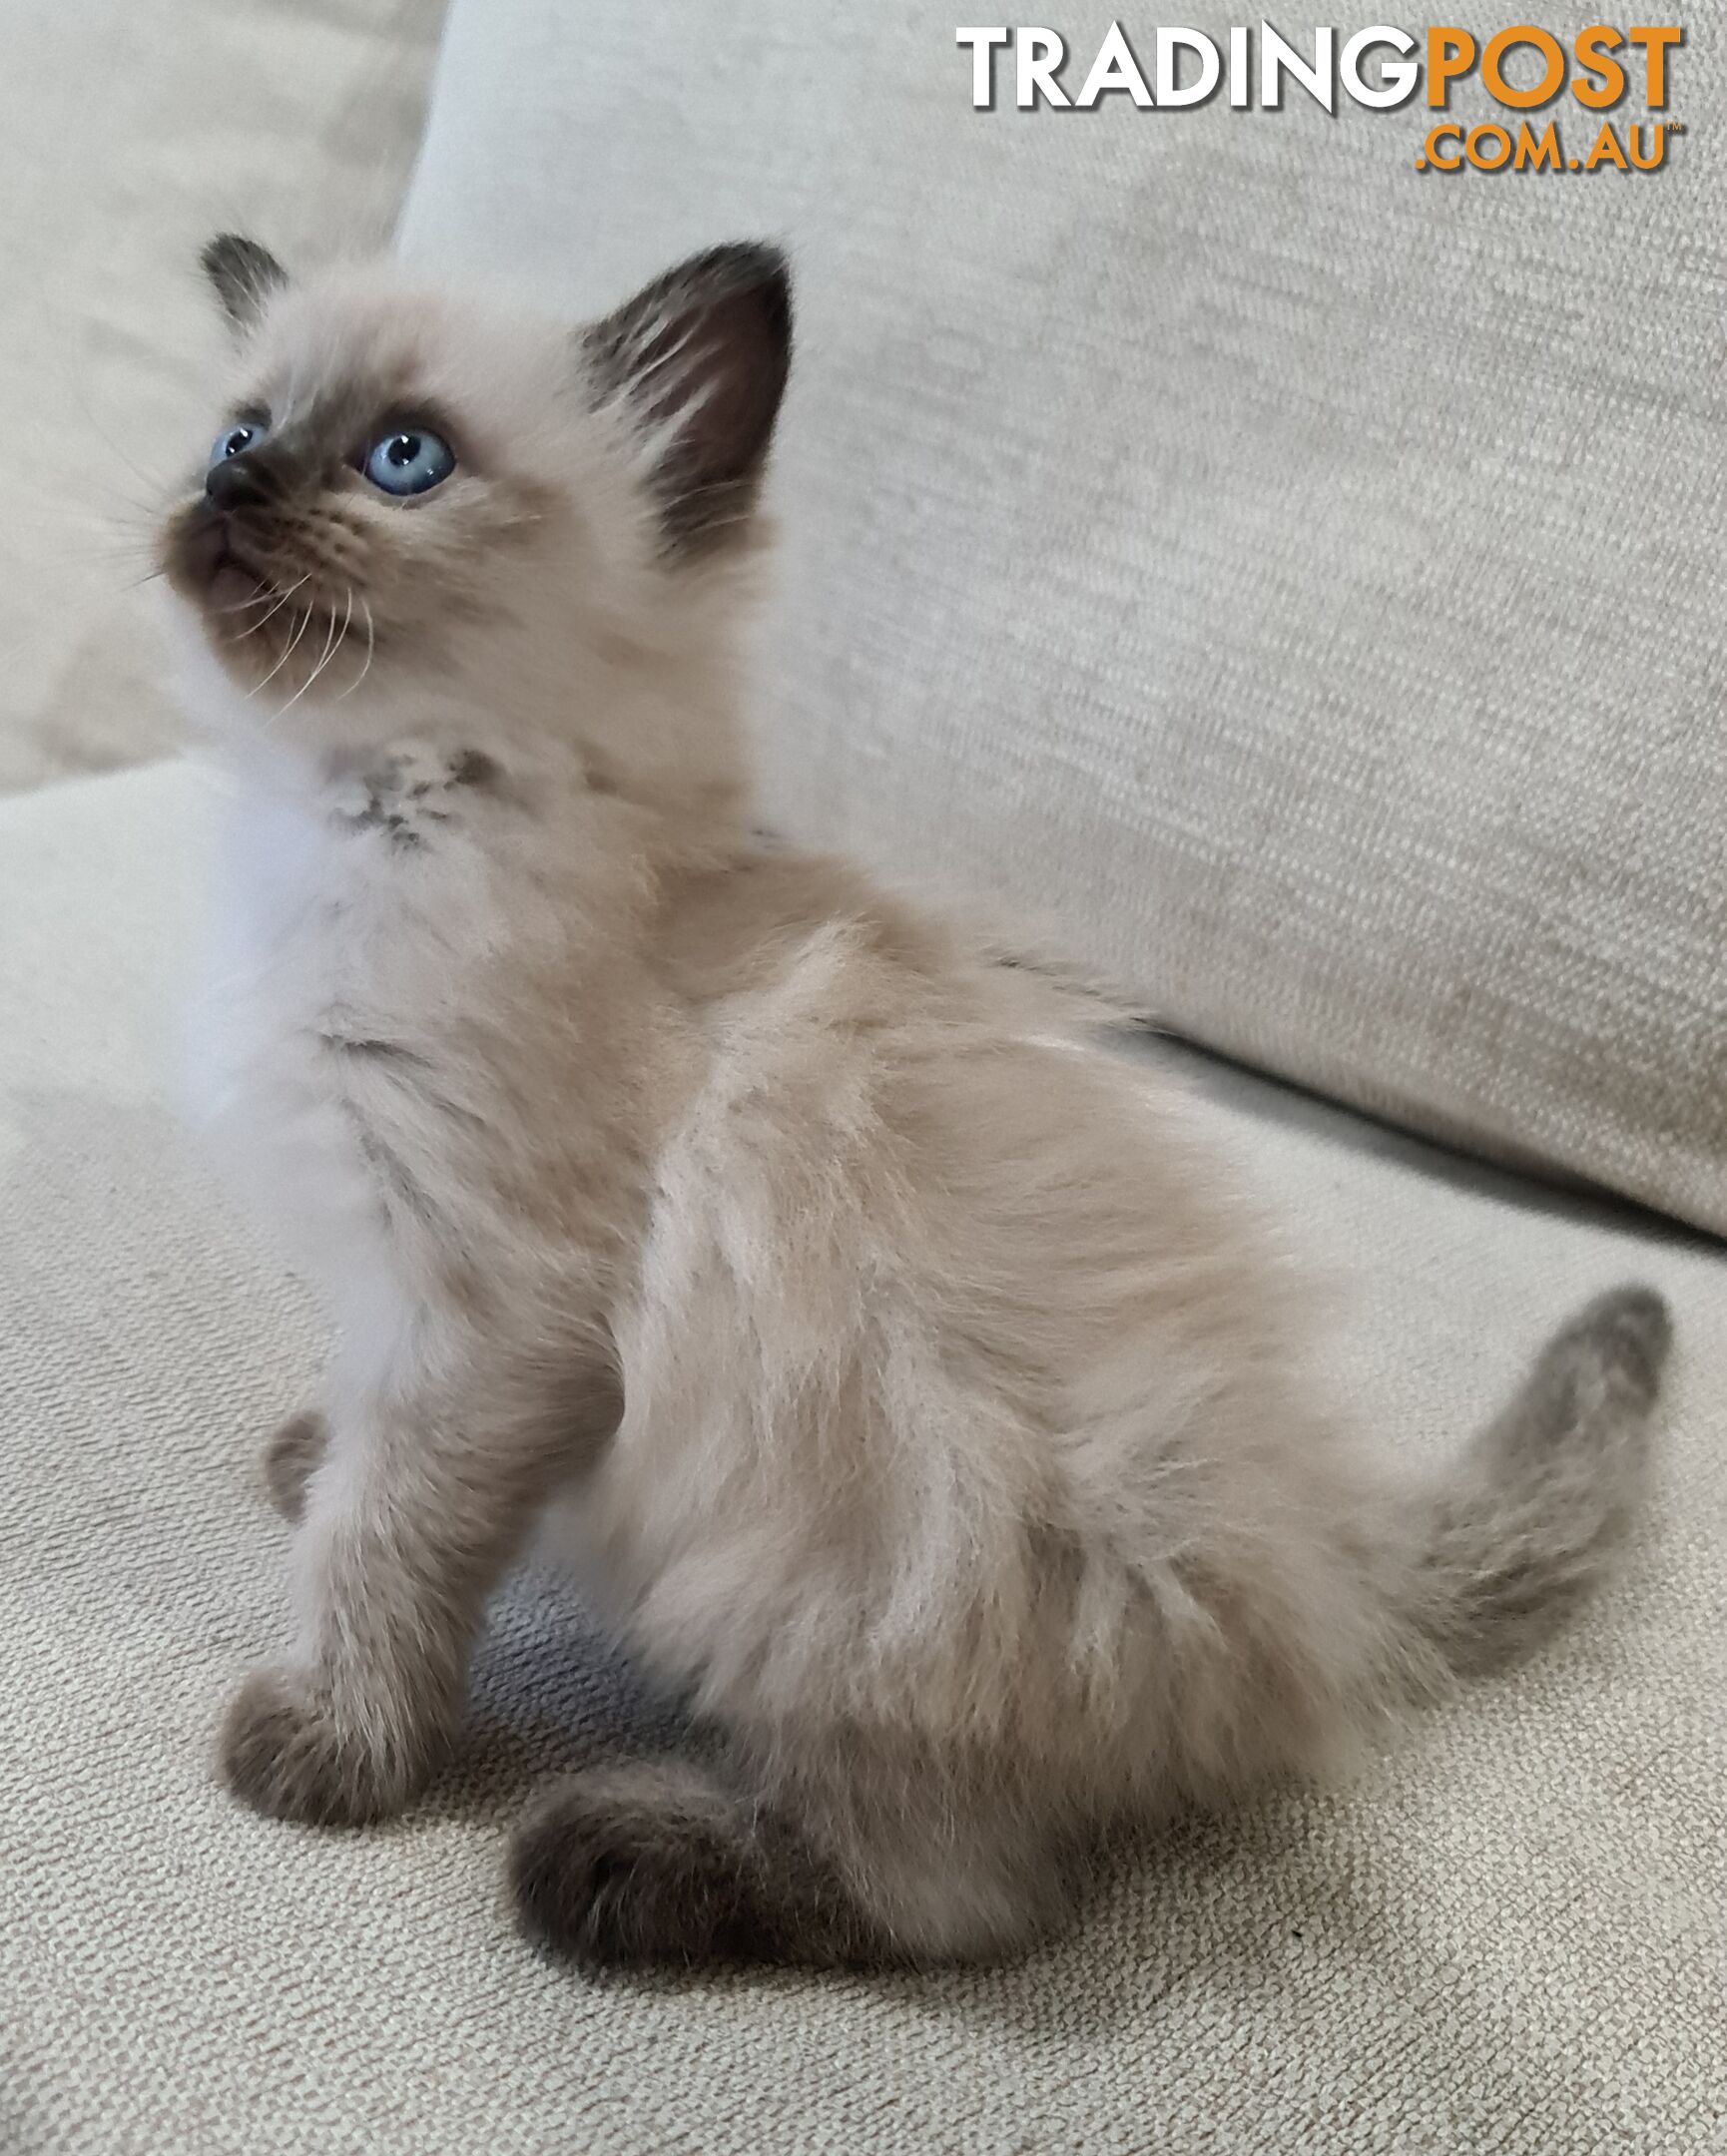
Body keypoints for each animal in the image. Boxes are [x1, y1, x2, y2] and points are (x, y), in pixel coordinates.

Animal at [161, 236, 1673, 1974]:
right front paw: (307, 1463)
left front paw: (326, 1746)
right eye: (239, 429)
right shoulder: (410, 1300)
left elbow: (383, 1545)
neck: (369, 825)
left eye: (402, 456)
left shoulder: (485, 1321)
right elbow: (357, 1465)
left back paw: (618, 1865)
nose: (230, 483)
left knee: (958, 1901)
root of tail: (1320, 1563)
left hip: (817, 1588)